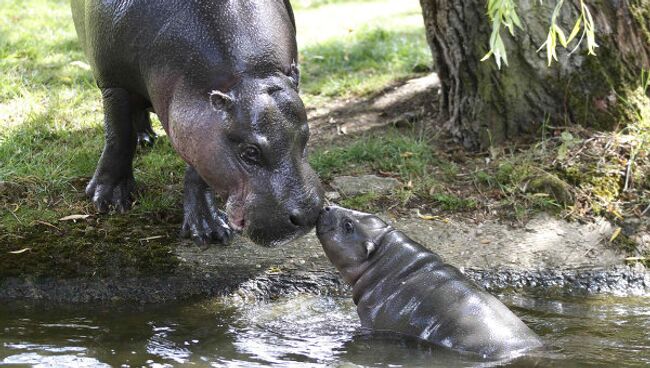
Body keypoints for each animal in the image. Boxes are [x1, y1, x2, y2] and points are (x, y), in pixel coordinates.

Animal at [71, 1, 322, 247]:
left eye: (306, 137)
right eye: (250, 152)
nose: (308, 215)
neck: (250, 74)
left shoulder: (200, 123)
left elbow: (198, 164)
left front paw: (209, 229)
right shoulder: (114, 83)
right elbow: (119, 137)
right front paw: (109, 200)